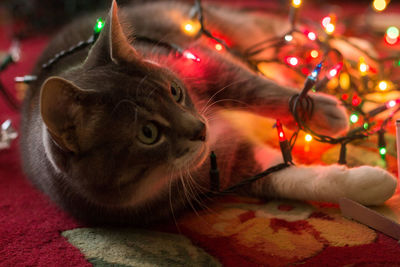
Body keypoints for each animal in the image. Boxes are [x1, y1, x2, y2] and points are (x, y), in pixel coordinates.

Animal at [21, 0, 396, 226]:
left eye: (175, 90)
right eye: (147, 133)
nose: (201, 129)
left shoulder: (201, 59)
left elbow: (256, 90)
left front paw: (325, 113)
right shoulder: (232, 170)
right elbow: (293, 179)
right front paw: (371, 183)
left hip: (228, 31)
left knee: (294, 31)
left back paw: (363, 57)